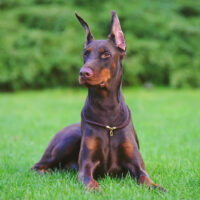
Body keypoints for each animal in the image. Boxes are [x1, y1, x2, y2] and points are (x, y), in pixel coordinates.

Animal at [32, 10, 164, 191]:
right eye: (85, 54)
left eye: (106, 54)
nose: (83, 73)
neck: (106, 107)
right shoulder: (86, 167)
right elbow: (90, 181)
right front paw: (96, 189)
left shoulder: (137, 165)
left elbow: (145, 178)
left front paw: (157, 187)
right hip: (68, 139)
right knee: (38, 166)